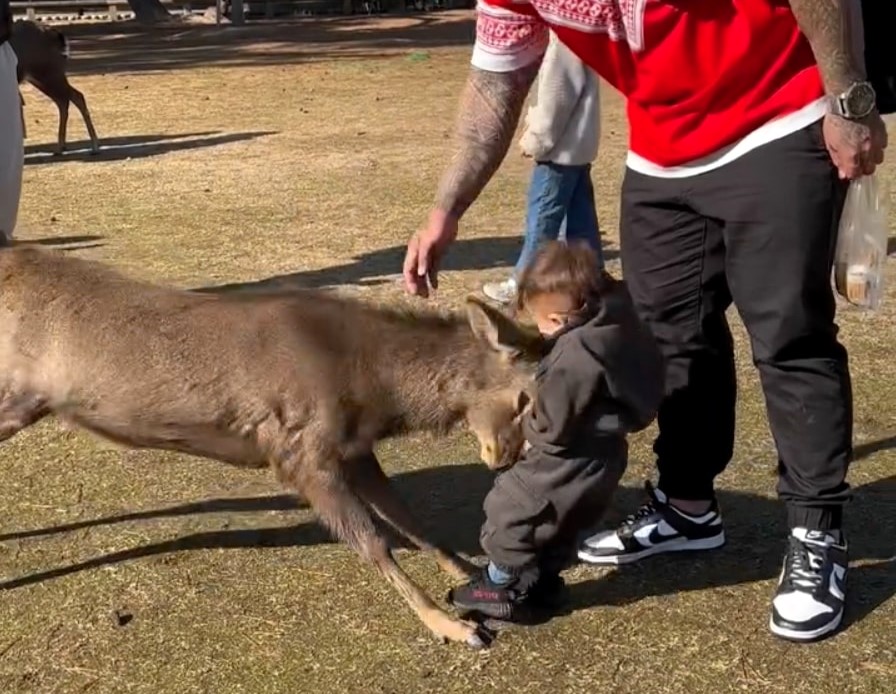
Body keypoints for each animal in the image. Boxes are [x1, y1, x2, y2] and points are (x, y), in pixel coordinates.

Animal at [0, 247, 544, 648]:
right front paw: (452, 625)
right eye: (525, 401)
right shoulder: (301, 452)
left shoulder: (354, 449)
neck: (375, 390)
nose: (505, 457)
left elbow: (409, 519)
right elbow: (374, 543)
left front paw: (467, 570)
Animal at [9, 19, 98, 156]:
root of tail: (57, 35)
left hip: (47, 72)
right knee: (64, 100)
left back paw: (93, 147)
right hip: (44, 76)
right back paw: (61, 147)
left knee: (75, 96)